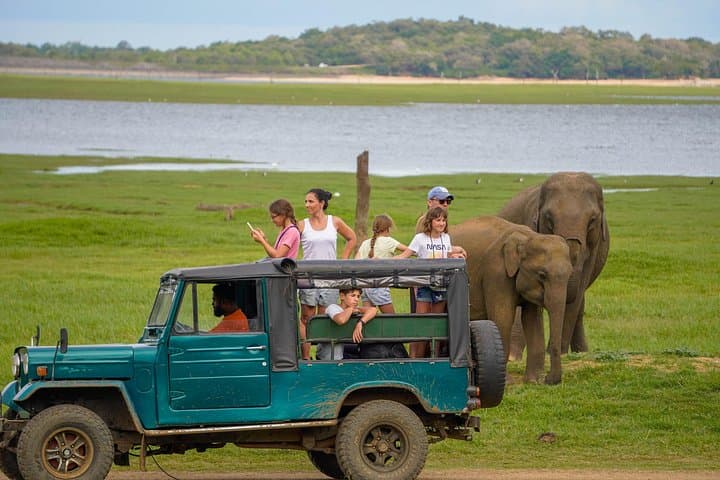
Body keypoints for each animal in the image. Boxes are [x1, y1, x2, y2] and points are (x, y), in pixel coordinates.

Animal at [451, 216, 572, 384]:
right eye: (542, 274)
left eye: (570, 275)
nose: (548, 379)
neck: (528, 237)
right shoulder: (496, 274)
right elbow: (503, 318)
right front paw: (507, 382)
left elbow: (532, 320)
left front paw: (533, 381)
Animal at [498, 172, 610, 356]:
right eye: (549, 218)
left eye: (592, 220)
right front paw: (513, 356)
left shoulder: (594, 247)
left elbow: (576, 294)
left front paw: (557, 353)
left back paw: (581, 352)